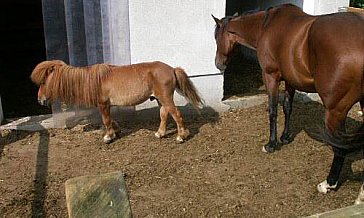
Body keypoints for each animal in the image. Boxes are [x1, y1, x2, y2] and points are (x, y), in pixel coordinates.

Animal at [30, 60, 205, 144]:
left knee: (177, 115)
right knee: (164, 115)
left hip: (165, 98)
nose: (40, 100)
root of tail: (172, 69)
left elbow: (106, 120)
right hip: (160, 100)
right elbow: (111, 120)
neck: (93, 80)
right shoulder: (106, 105)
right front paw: (117, 130)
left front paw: (109, 137)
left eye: (44, 82)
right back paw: (160, 134)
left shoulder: (103, 104)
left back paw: (181, 136)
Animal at [212, 4, 364, 203]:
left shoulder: (270, 76)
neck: (265, 26)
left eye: (216, 37)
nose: (218, 64)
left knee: (340, 146)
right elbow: (287, 108)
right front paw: (285, 137)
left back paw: (329, 183)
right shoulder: (291, 80)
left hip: (335, 111)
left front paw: (271, 144)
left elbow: (273, 110)